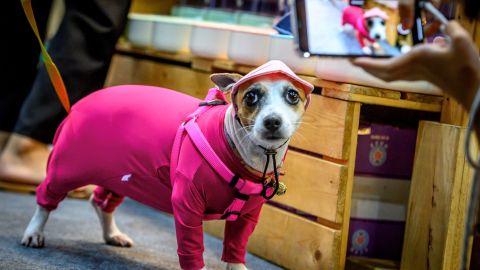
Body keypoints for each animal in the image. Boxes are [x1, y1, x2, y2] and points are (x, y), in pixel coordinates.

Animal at [20, 60, 314, 270]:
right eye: (251, 96)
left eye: (292, 95)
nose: (273, 121)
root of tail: (79, 103)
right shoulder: (187, 206)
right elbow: (192, 248)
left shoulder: (247, 218)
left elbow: (235, 250)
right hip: (66, 168)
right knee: (45, 199)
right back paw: (34, 231)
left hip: (124, 176)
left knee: (101, 201)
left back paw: (112, 234)